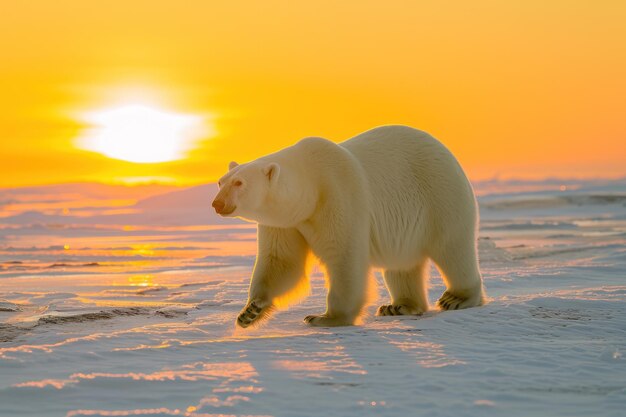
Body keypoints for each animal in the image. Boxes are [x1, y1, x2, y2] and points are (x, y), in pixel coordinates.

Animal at [212, 125, 486, 326]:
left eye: (239, 183)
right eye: (221, 181)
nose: (217, 203)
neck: (311, 184)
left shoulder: (337, 193)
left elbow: (343, 255)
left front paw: (325, 318)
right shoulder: (286, 221)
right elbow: (282, 261)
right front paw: (249, 311)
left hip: (439, 195)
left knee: (452, 248)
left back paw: (456, 298)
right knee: (402, 262)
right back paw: (398, 306)